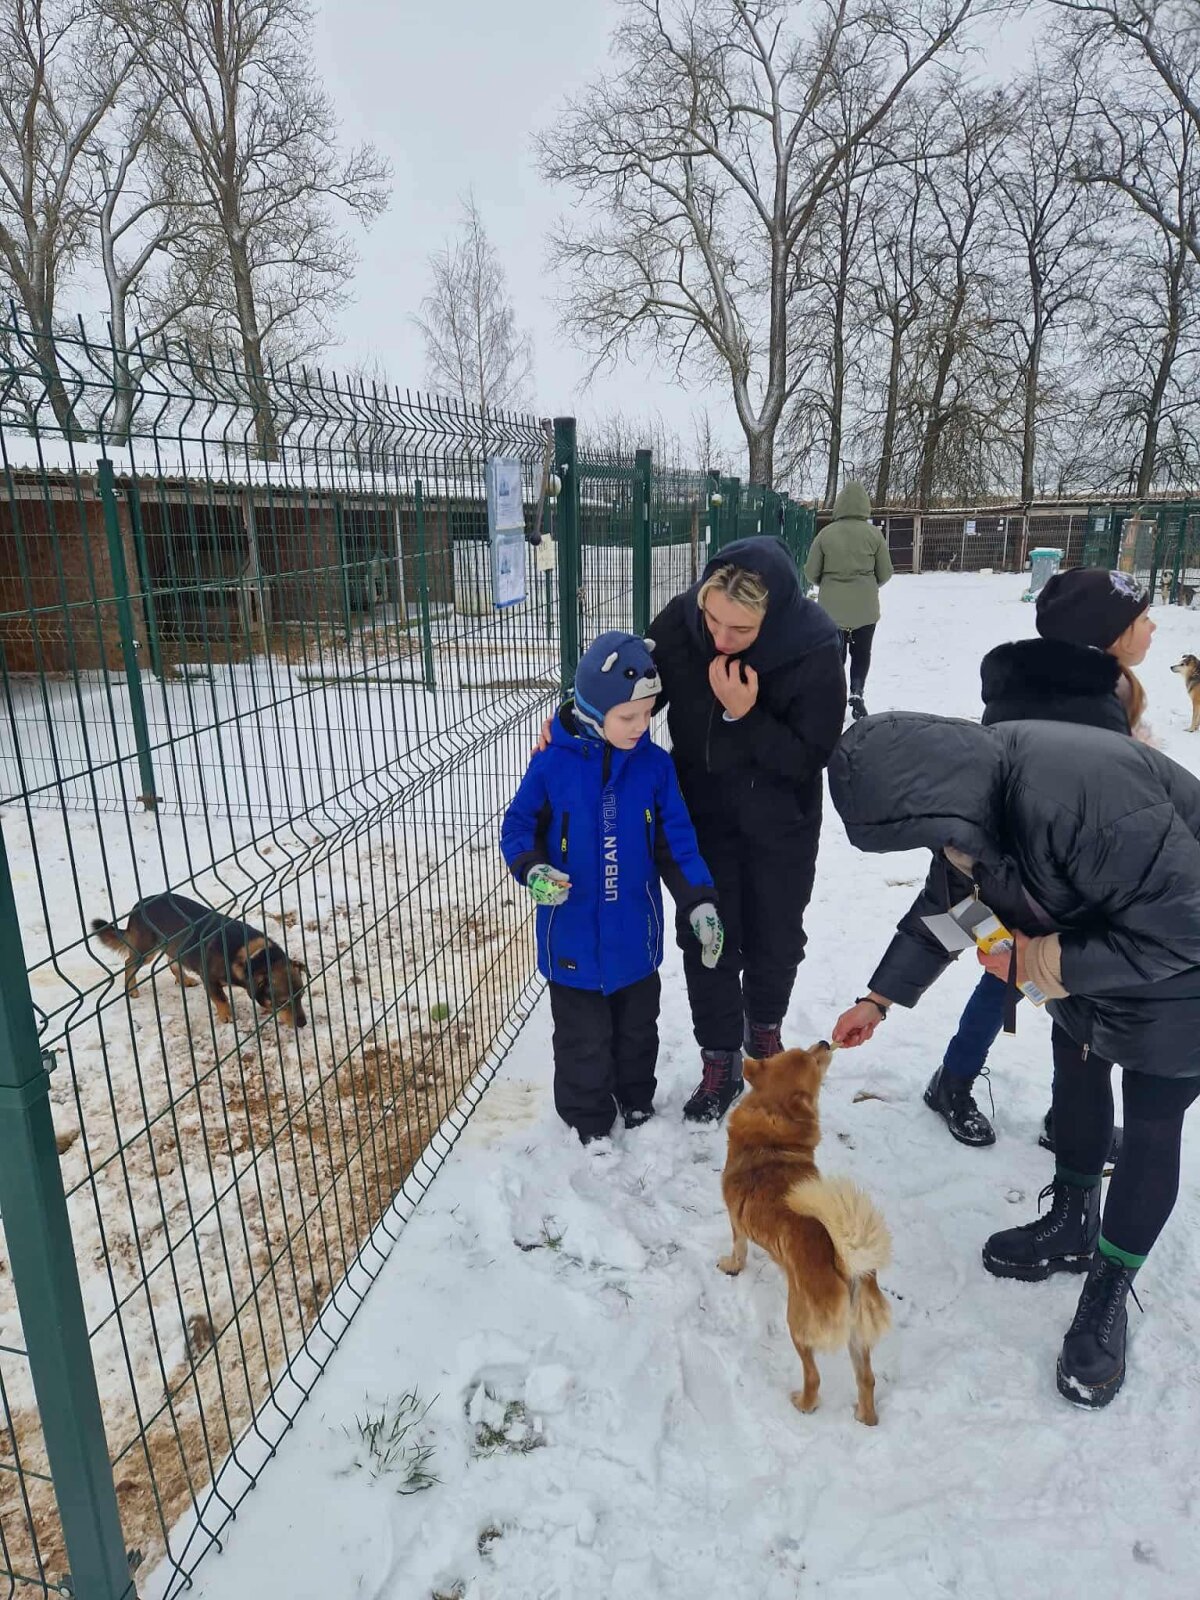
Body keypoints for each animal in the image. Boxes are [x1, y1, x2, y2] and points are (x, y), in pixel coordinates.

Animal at [92, 893, 308, 1028]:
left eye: (302, 995)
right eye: (282, 1001)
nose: (303, 1024)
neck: (255, 956)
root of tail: (137, 906)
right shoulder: (209, 978)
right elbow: (221, 998)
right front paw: (227, 1016)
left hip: (174, 946)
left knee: (171, 962)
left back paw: (185, 980)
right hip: (146, 950)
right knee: (128, 963)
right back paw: (132, 989)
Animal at [718, 1042, 891, 1425]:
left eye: (812, 1059)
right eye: (802, 1051)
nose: (825, 1042)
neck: (772, 1120)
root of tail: (846, 1262)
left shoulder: (735, 1221)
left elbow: (738, 1248)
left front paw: (732, 1266)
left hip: (797, 1323)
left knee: (814, 1376)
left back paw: (803, 1402)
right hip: (857, 1335)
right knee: (867, 1379)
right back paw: (865, 1417)